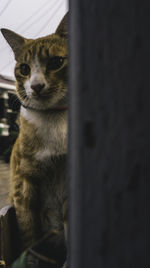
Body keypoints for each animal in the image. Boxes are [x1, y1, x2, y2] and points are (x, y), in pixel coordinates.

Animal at [1, 11, 68, 260]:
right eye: (24, 68)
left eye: (56, 62)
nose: (36, 85)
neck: (54, 117)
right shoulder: (24, 181)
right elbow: (28, 231)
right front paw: (30, 258)